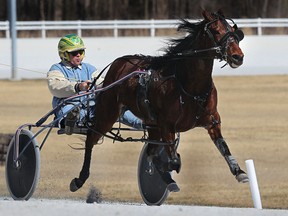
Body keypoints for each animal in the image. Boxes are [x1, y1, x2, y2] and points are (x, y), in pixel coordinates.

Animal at [70, 10, 250, 194]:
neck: (190, 86)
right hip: (109, 113)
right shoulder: (166, 125)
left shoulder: (212, 121)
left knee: (151, 150)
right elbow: (173, 159)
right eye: (215, 30)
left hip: (151, 124)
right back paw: (80, 179)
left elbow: (223, 147)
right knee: (91, 139)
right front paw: (171, 164)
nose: (238, 56)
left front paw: (239, 171)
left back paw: (169, 180)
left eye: (232, 30)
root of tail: (119, 63)